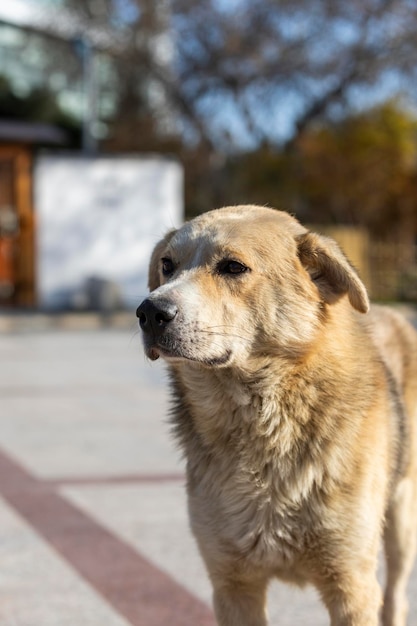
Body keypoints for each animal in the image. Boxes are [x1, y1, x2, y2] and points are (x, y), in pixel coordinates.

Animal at [136, 206, 416, 624]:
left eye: (233, 267)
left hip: (401, 521)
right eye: (167, 266)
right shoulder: (233, 584)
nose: (149, 311)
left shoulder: (351, 586)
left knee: (397, 595)